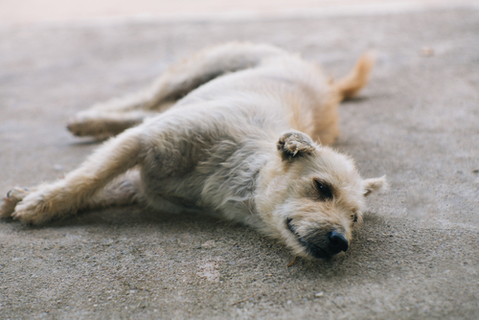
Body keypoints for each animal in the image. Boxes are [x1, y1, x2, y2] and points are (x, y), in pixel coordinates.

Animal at [0, 42, 386, 260]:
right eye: (321, 187)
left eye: (355, 218)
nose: (340, 241)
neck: (236, 170)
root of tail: (328, 83)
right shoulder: (140, 141)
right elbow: (89, 177)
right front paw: (41, 203)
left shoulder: (140, 185)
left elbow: (96, 188)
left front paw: (26, 195)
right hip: (191, 74)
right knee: (144, 99)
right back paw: (88, 119)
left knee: (146, 109)